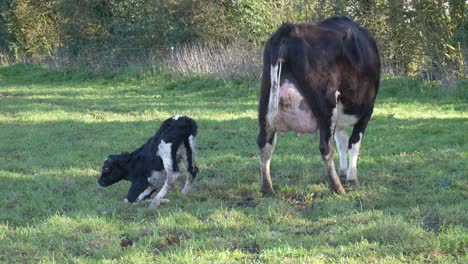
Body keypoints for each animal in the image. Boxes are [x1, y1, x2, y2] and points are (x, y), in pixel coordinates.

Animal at [258, 16, 382, 194]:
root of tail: (288, 30)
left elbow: (342, 142)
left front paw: (343, 172)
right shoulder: (366, 111)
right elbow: (353, 143)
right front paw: (351, 178)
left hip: (265, 99)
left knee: (264, 144)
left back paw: (267, 188)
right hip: (325, 105)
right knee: (325, 148)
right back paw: (337, 187)